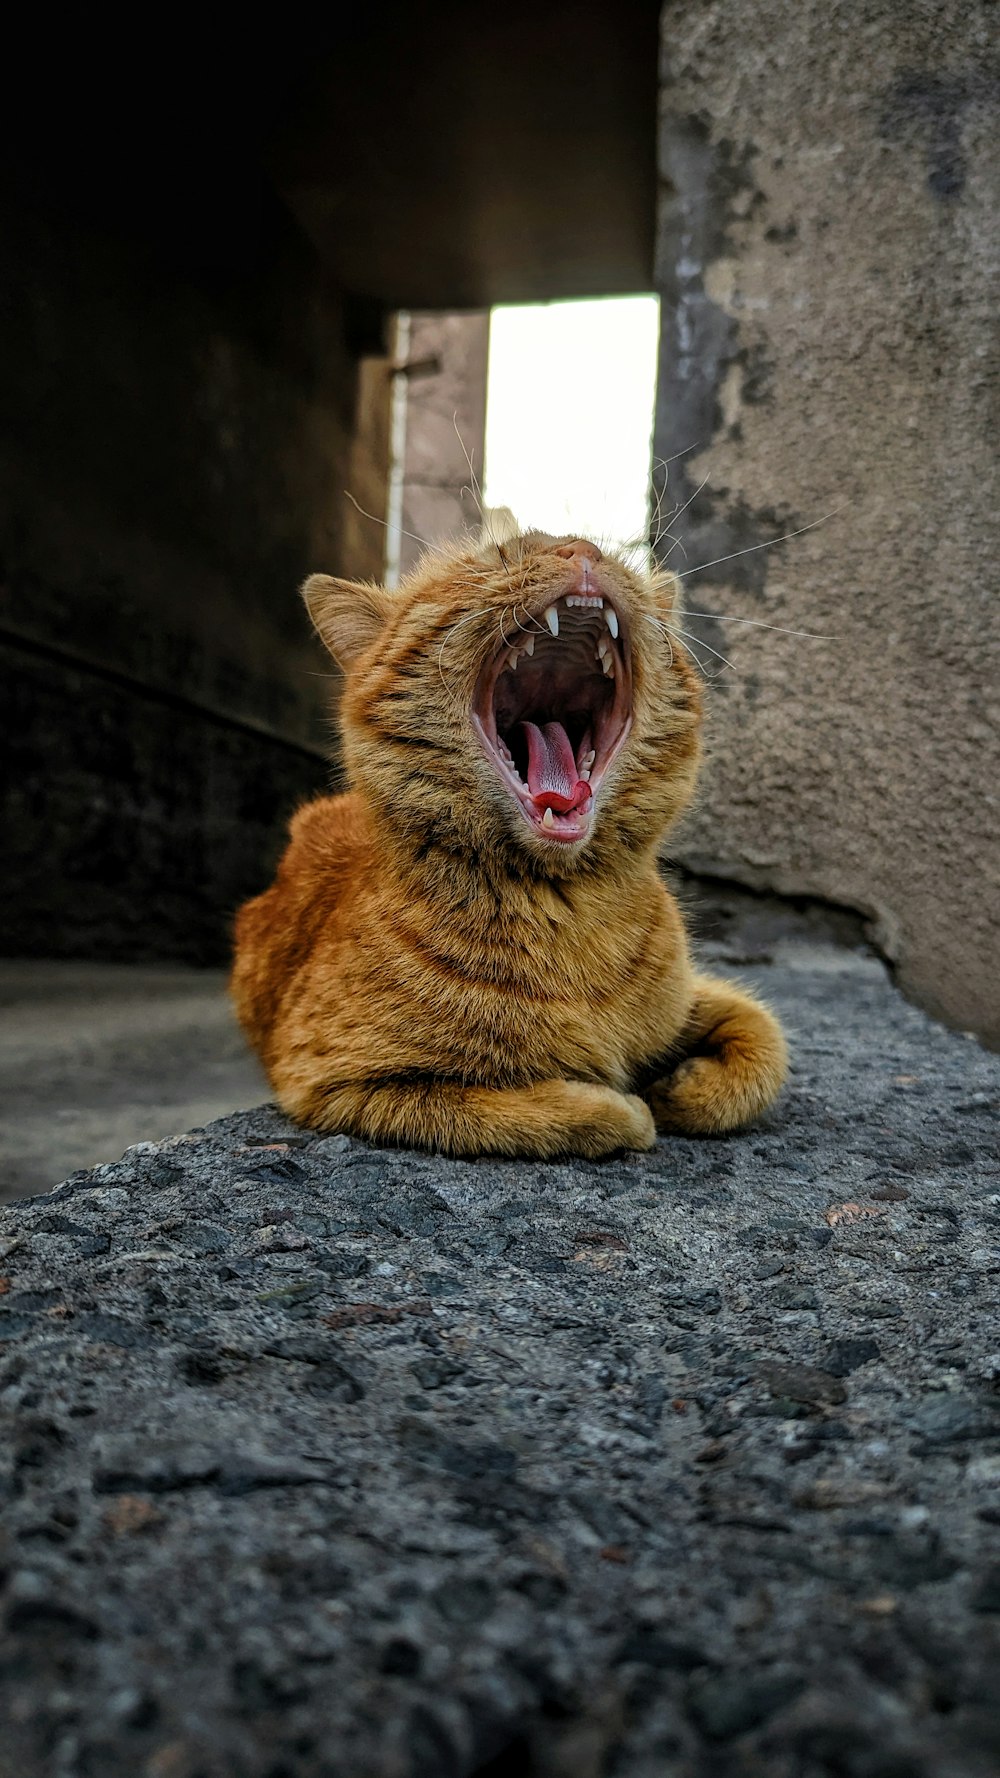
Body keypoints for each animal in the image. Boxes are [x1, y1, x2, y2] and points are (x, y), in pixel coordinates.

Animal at [229, 533, 782, 1159]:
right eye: (498, 557)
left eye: (611, 557)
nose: (583, 549)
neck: (570, 911)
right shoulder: (334, 1081)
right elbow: (532, 1111)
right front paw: (627, 1106)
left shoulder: (695, 997)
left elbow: (765, 1041)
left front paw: (685, 1086)